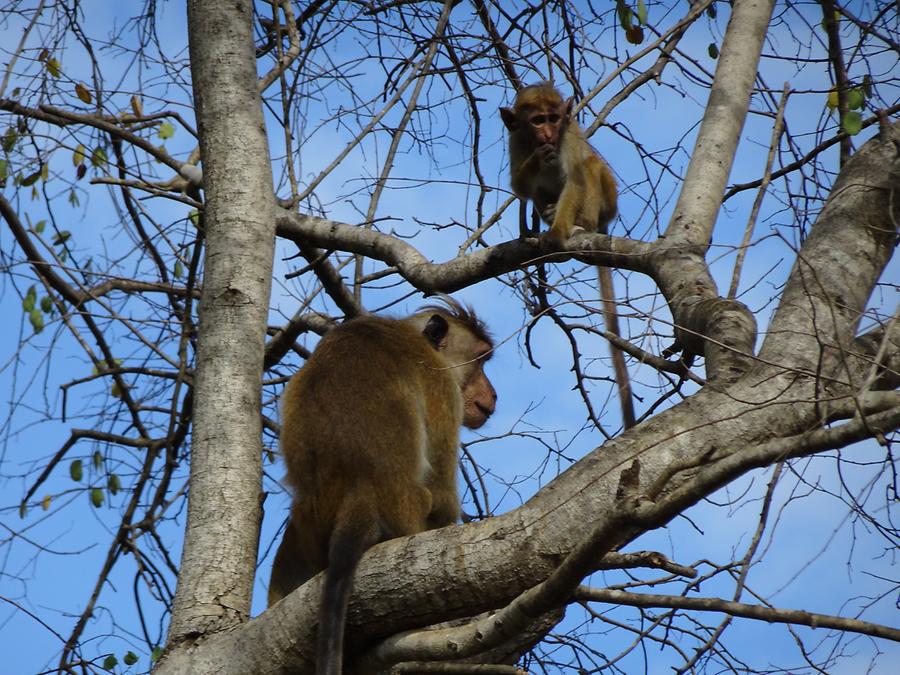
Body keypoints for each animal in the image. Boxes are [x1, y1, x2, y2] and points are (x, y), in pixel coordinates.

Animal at [268, 300, 496, 675]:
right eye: (479, 360)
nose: (492, 395)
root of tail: (361, 492)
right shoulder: (440, 382)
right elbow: (444, 495)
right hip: (409, 511)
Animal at [500, 83, 640, 428]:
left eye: (553, 118)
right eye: (537, 121)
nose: (549, 133)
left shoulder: (570, 137)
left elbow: (575, 178)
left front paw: (557, 233)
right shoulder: (515, 141)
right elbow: (520, 186)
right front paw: (538, 158)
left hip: (607, 201)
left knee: (588, 166)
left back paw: (577, 224)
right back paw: (545, 217)